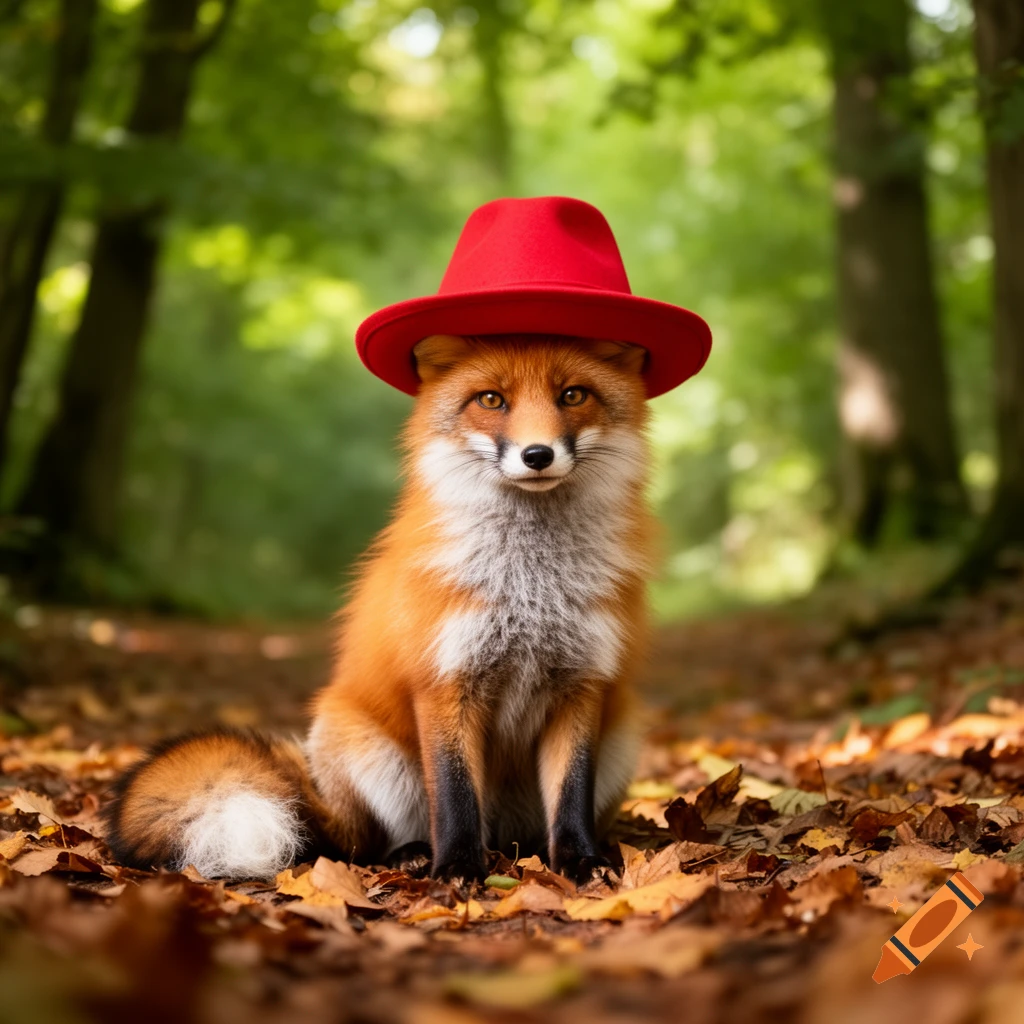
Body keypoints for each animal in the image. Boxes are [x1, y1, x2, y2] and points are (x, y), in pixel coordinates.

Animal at [106, 332, 655, 884]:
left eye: (573, 395)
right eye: (491, 400)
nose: (537, 454)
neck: (530, 590)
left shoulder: (582, 683)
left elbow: (571, 794)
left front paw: (581, 861)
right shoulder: (444, 681)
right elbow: (455, 793)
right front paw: (457, 867)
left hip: (622, 738)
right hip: (359, 748)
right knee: (359, 847)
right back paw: (411, 854)